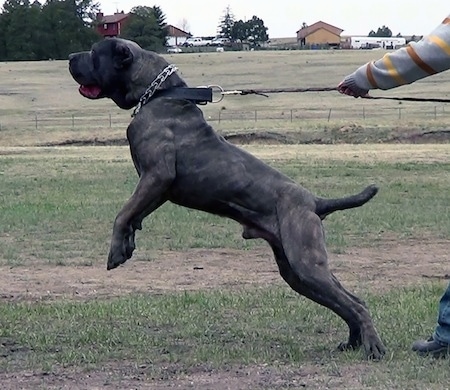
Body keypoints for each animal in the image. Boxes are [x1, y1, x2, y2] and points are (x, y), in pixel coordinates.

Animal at [68, 37, 384, 360]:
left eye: (94, 53)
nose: (69, 56)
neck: (158, 93)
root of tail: (314, 201)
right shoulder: (156, 188)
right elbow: (135, 214)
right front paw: (128, 243)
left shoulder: (157, 176)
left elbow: (122, 214)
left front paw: (115, 253)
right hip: (295, 272)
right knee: (348, 301)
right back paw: (352, 342)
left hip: (305, 262)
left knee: (354, 303)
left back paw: (372, 347)